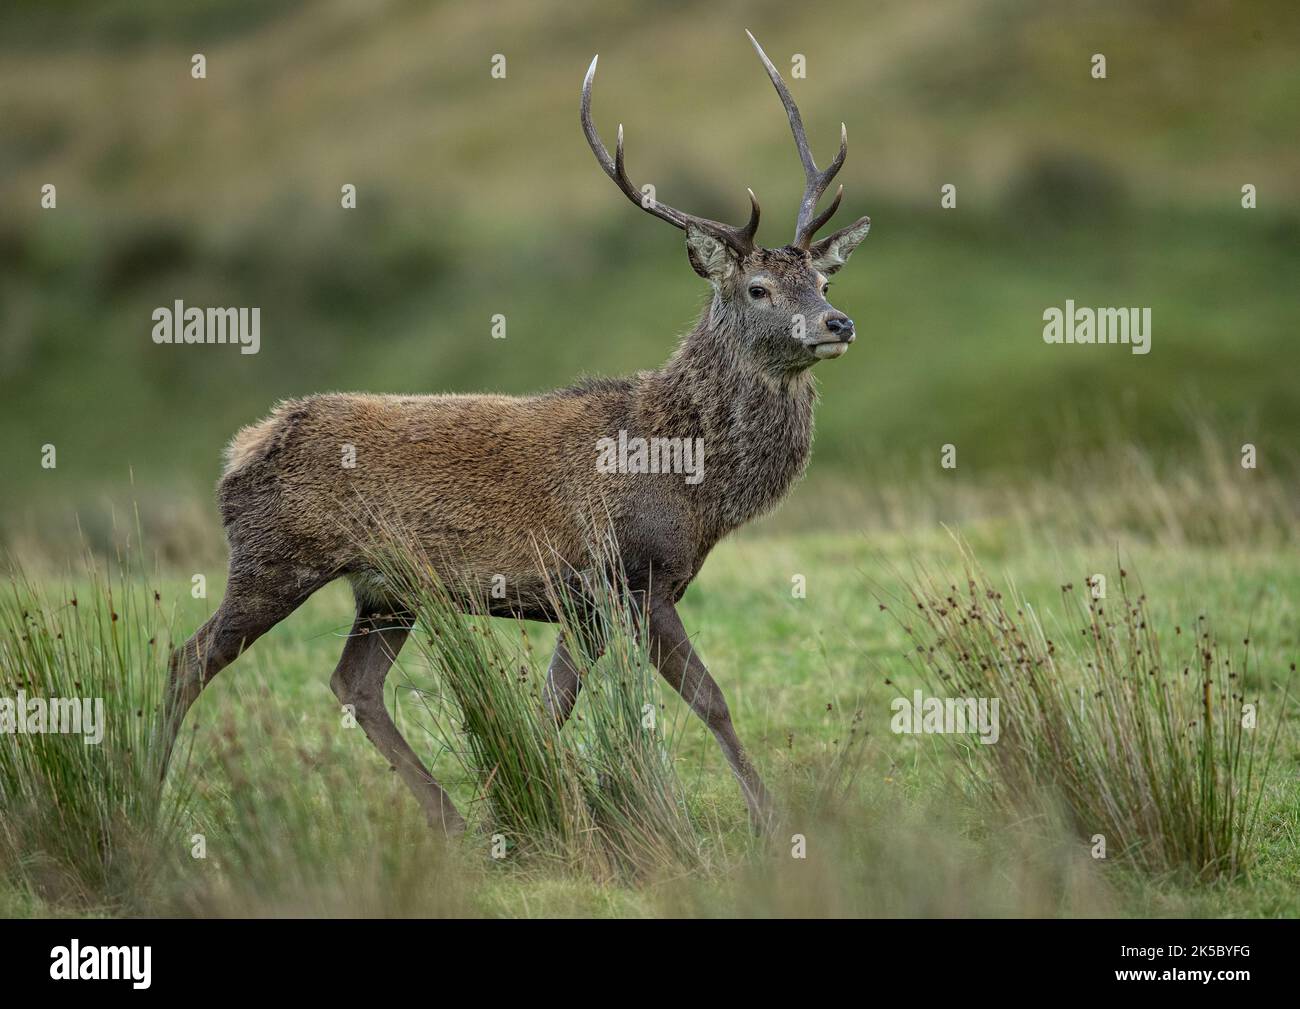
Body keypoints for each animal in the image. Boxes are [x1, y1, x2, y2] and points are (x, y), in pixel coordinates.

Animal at [162, 31, 873, 837]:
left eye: (825, 282)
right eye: (759, 288)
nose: (838, 322)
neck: (690, 480)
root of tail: (243, 449)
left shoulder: (587, 600)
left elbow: (551, 706)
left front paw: (526, 805)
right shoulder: (632, 575)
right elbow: (710, 700)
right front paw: (771, 818)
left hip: (385, 592)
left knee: (353, 685)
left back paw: (450, 820)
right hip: (272, 559)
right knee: (186, 663)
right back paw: (140, 794)